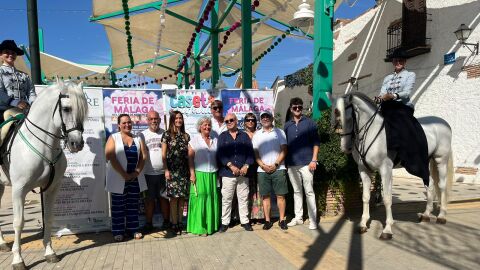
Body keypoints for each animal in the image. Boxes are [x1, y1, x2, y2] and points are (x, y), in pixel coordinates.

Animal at [0, 80, 88, 270]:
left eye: (84, 110)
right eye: (67, 108)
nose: (76, 144)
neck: (42, 146)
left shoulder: (51, 188)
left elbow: (48, 217)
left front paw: (49, 252)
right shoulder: (18, 190)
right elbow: (18, 222)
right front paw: (18, 260)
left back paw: (2, 243)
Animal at [332, 92, 452, 239]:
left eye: (348, 118)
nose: (345, 148)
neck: (372, 132)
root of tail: (444, 123)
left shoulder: (385, 170)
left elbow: (387, 198)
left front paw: (387, 229)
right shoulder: (364, 170)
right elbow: (365, 197)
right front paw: (363, 224)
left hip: (441, 160)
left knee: (441, 185)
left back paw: (441, 216)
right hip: (426, 162)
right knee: (429, 185)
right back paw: (426, 215)